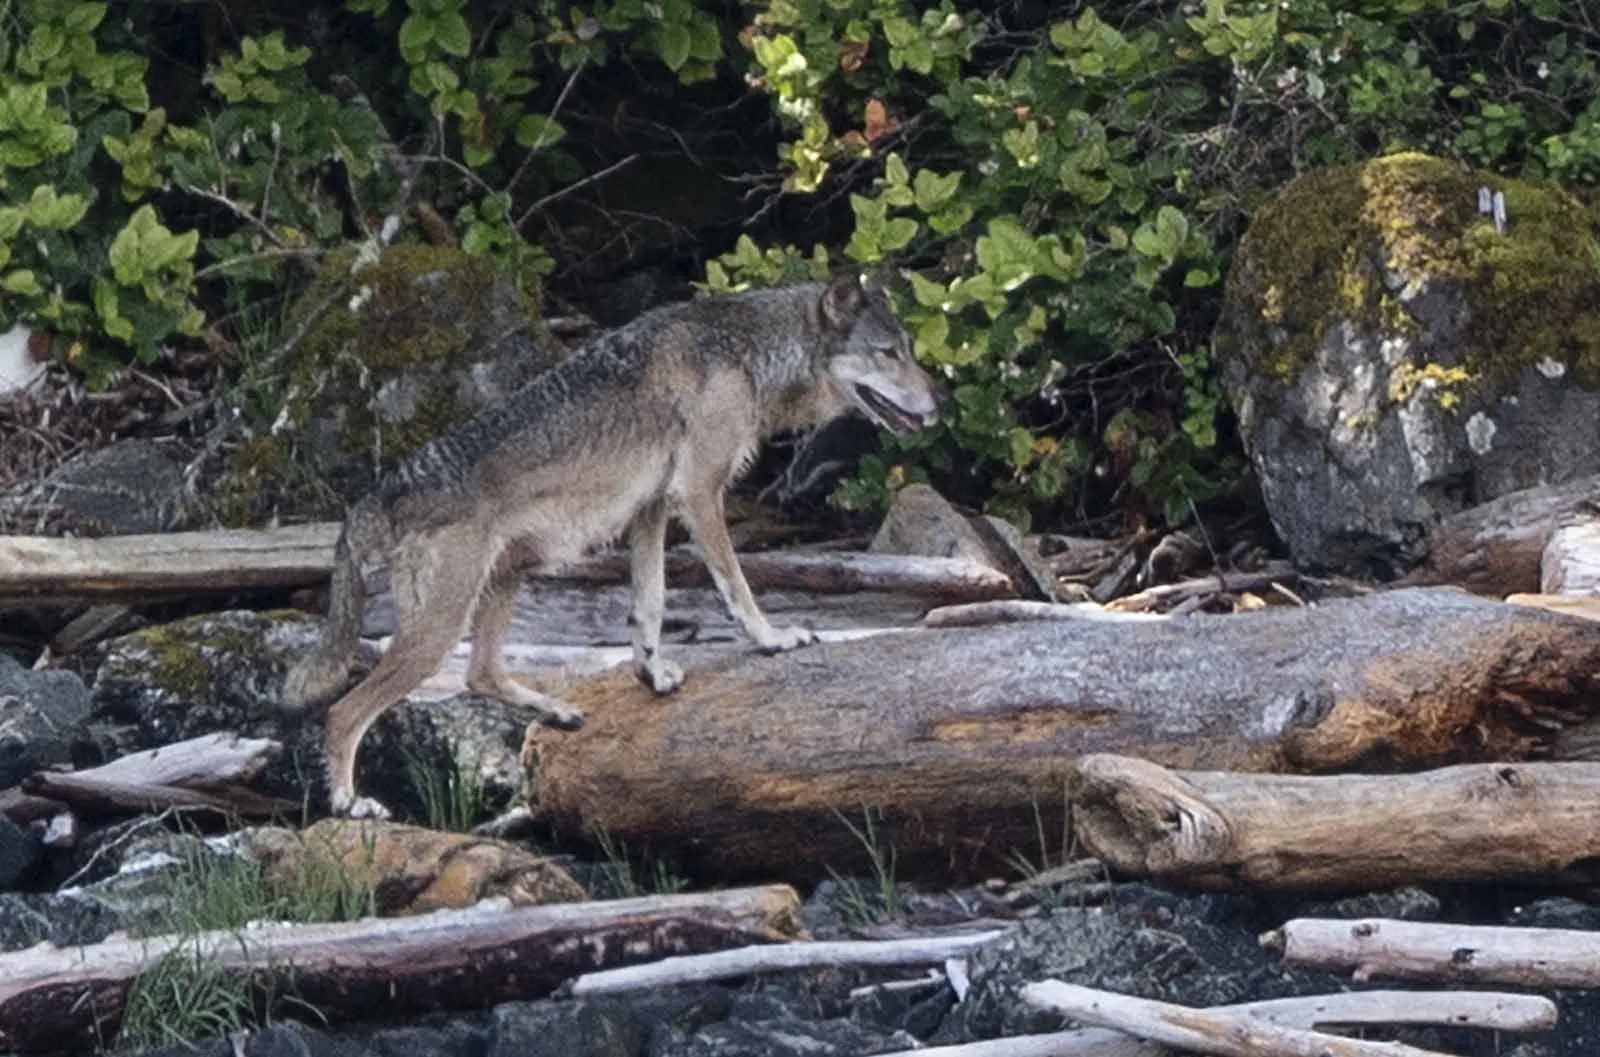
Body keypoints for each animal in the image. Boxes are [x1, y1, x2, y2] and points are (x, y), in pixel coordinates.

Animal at [280, 270, 945, 818]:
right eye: (888, 354)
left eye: (910, 351)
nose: (938, 404)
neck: (747, 353)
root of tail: (374, 497)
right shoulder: (698, 495)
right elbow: (737, 586)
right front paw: (773, 638)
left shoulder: (650, 511)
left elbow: (648, 606)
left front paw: (651, 673)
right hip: (438, 631)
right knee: (344, 711)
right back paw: (350, 804)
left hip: (506, 580)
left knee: (481, 675)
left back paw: (557, 711)